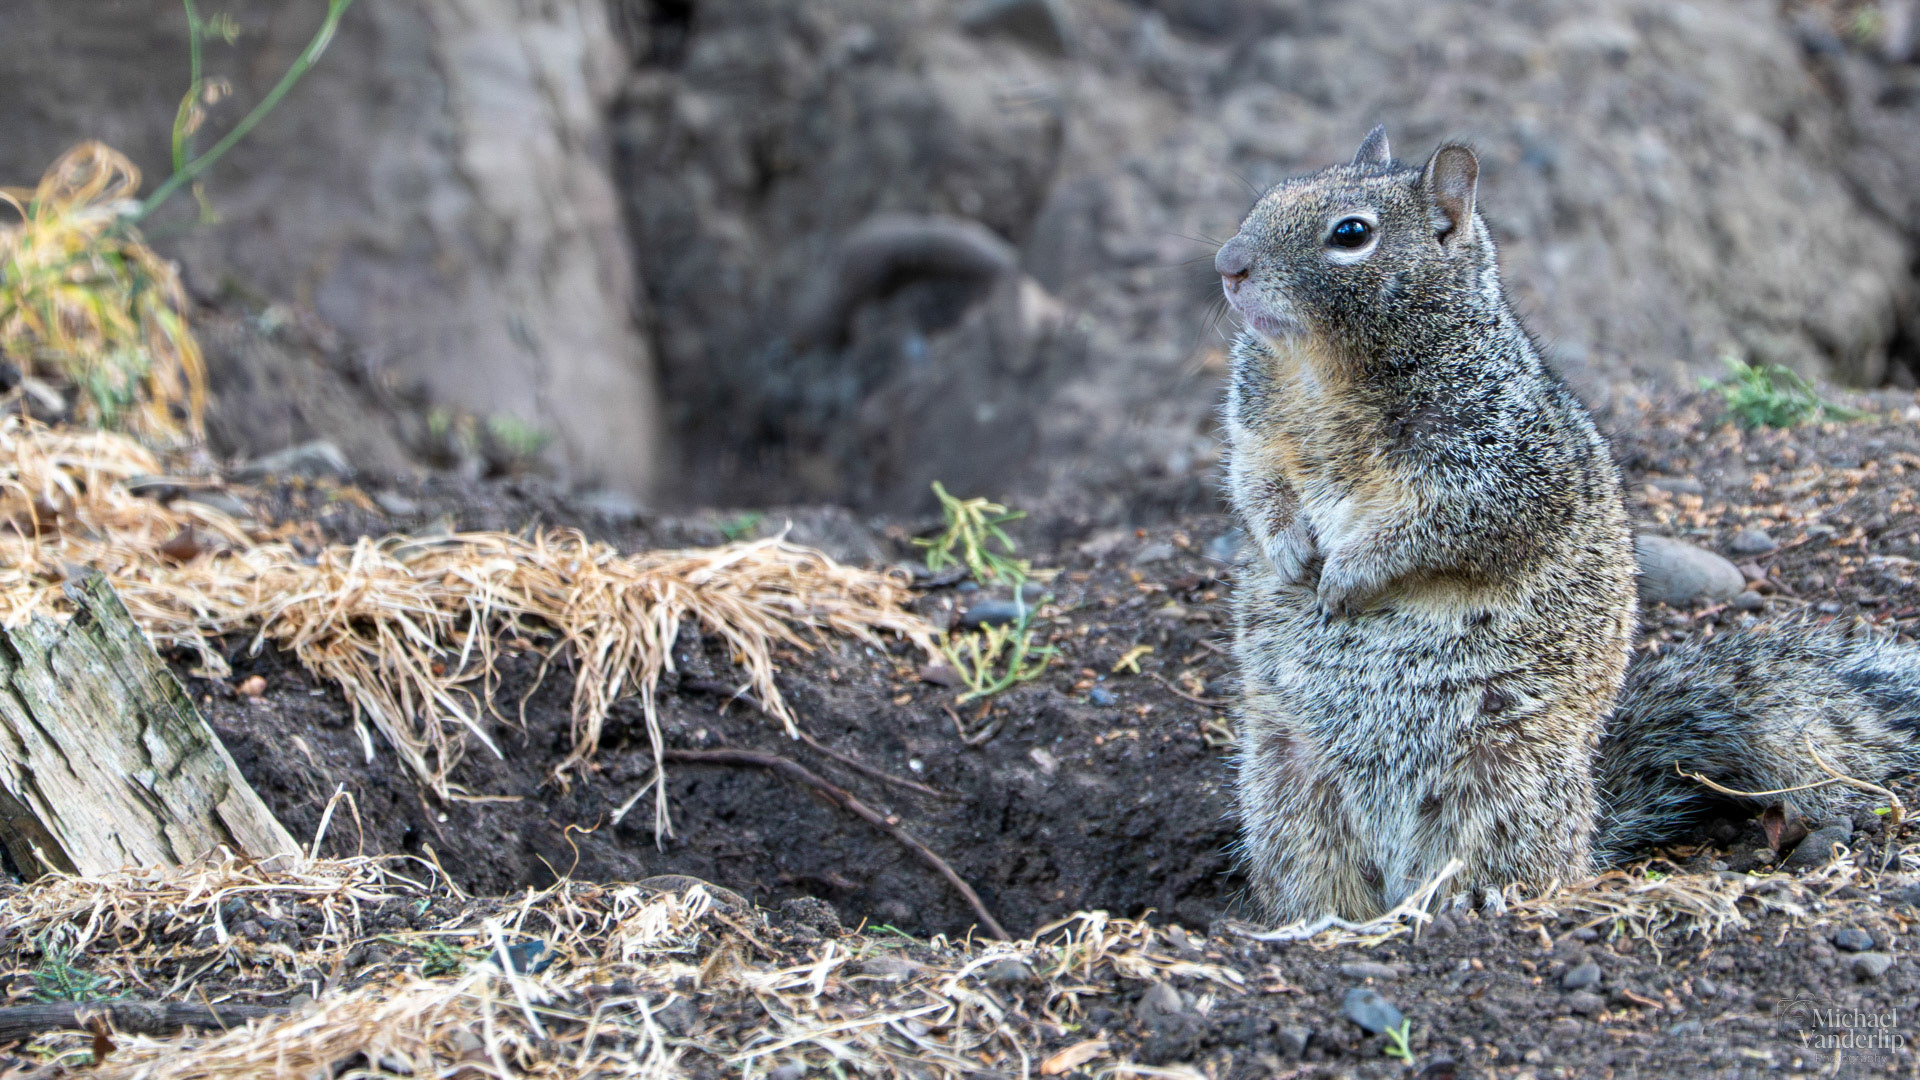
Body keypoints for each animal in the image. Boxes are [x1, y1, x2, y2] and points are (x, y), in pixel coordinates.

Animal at [1216, 125, 1920, 923]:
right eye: (1270, 196)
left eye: (1351, 234)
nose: (1228, 266)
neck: (1320, 371)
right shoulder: (1256, 434)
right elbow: (1256, 486)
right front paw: (1287, 551)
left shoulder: (1500, 465)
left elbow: (1443, 529)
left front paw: (1347, 574)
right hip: (1286, 788)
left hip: (1502, 780)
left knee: (1500, 863)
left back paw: (1468, 901)